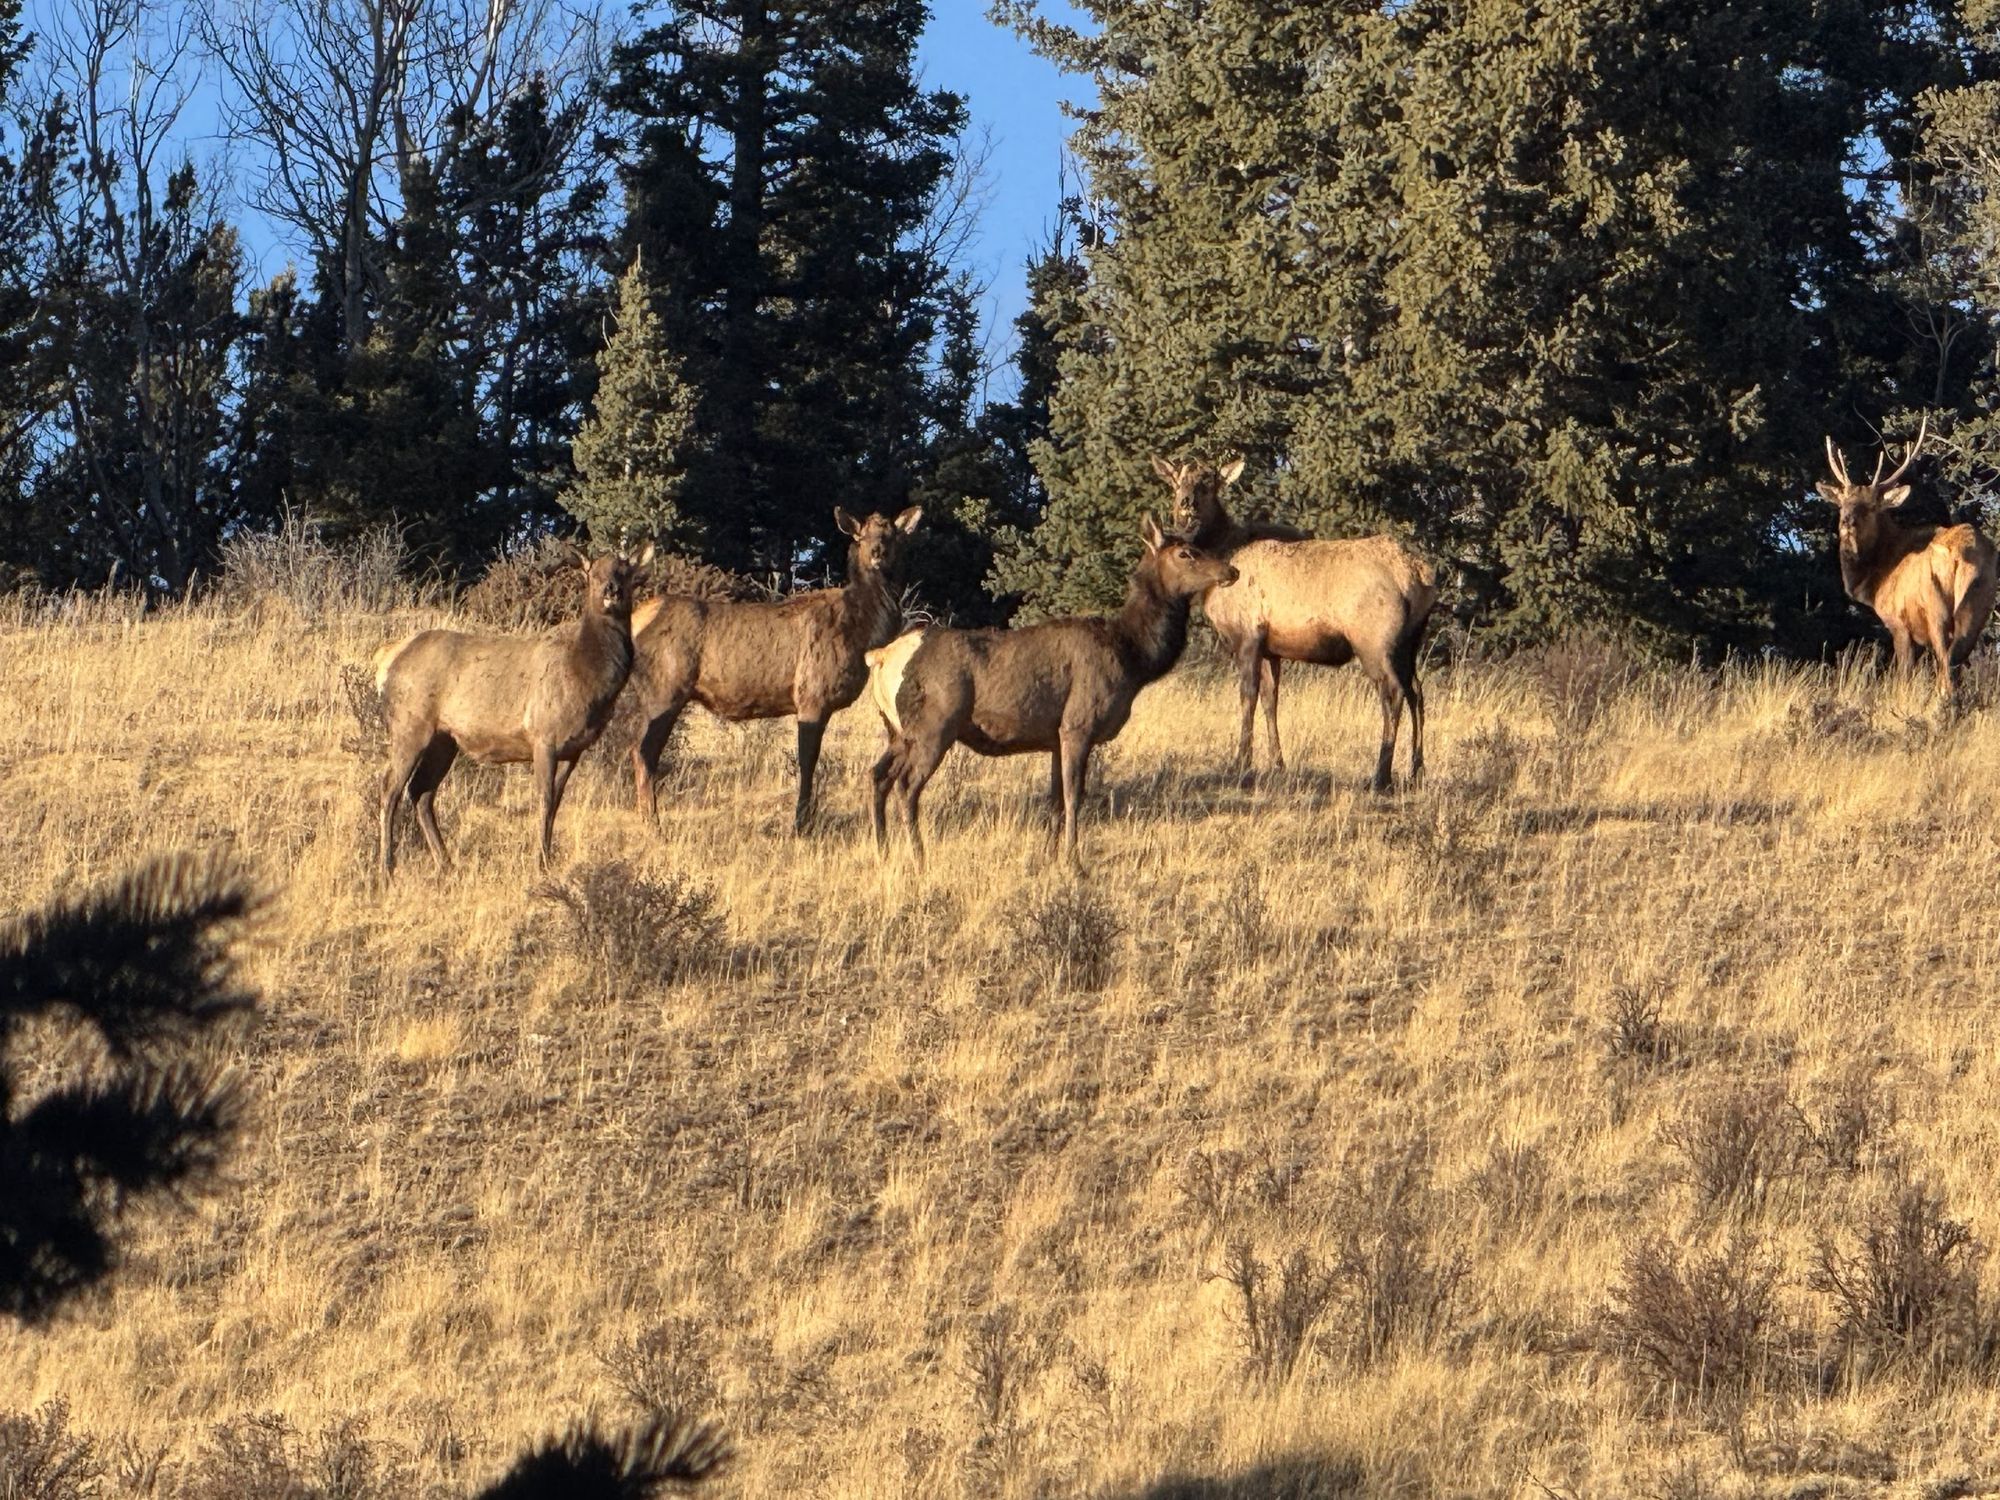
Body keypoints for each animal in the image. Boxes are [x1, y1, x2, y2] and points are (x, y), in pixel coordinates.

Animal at [374, 541, 654, 874]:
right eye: (592, 573)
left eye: (625, 572)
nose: (611, 590)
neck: (587, 677)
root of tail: (387, 659)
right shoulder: (543, 736)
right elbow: (544, 799)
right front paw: (539, 862)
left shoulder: (574, 750)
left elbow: (556, 803)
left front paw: (547, 859)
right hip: (410, 724)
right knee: (390, 787)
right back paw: (386, 867)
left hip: (445, 739)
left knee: (421, 791)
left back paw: (447, 863)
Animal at [628, 507, 922, 832]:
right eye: (861, 535)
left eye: (891, 535)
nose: (877, 552)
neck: (863, 633)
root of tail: (636, 619)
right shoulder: (811, 696)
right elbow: (807, 762)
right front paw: (801, 823)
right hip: (664, 691)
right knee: (643, 751)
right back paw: (653, 823)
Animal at [865, 517, 1239, 868]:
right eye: (1186, 553)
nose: (1231, 570)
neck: (1134, 656)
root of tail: (880, 657)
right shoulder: (1078, 724)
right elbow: (1075, 796)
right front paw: (1075, 863)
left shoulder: (1055, 735)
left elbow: (1055, 800)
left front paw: (1048, 857)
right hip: (935, 725)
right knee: (906, 784)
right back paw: (918, 858)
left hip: (897, 730)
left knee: (877, 775)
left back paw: (883, 850)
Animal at [1153, 455, 1437, 790]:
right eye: (1176, 481)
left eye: (1209, 484)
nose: (1186, 504)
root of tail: (1419, 574)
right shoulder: (1271, 649)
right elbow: (1270, 700)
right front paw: (1278, 764)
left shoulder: (1248, 636)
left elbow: (1247, 696)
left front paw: (1240, 763)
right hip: (1410, 641)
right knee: (1416, 691)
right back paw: (1416, 770)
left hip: (1374, 640)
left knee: (1392, 692)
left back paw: (1380, 776)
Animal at [1821, 415, 1996, 700]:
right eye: (1842, 503)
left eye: (1871, 506)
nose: (1847, 520)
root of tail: (1964, 557)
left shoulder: (1898, 622)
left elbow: (1904, 675)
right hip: (1979, 604)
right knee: (1958, 661)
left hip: (1937, 607)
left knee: (1946, 663)